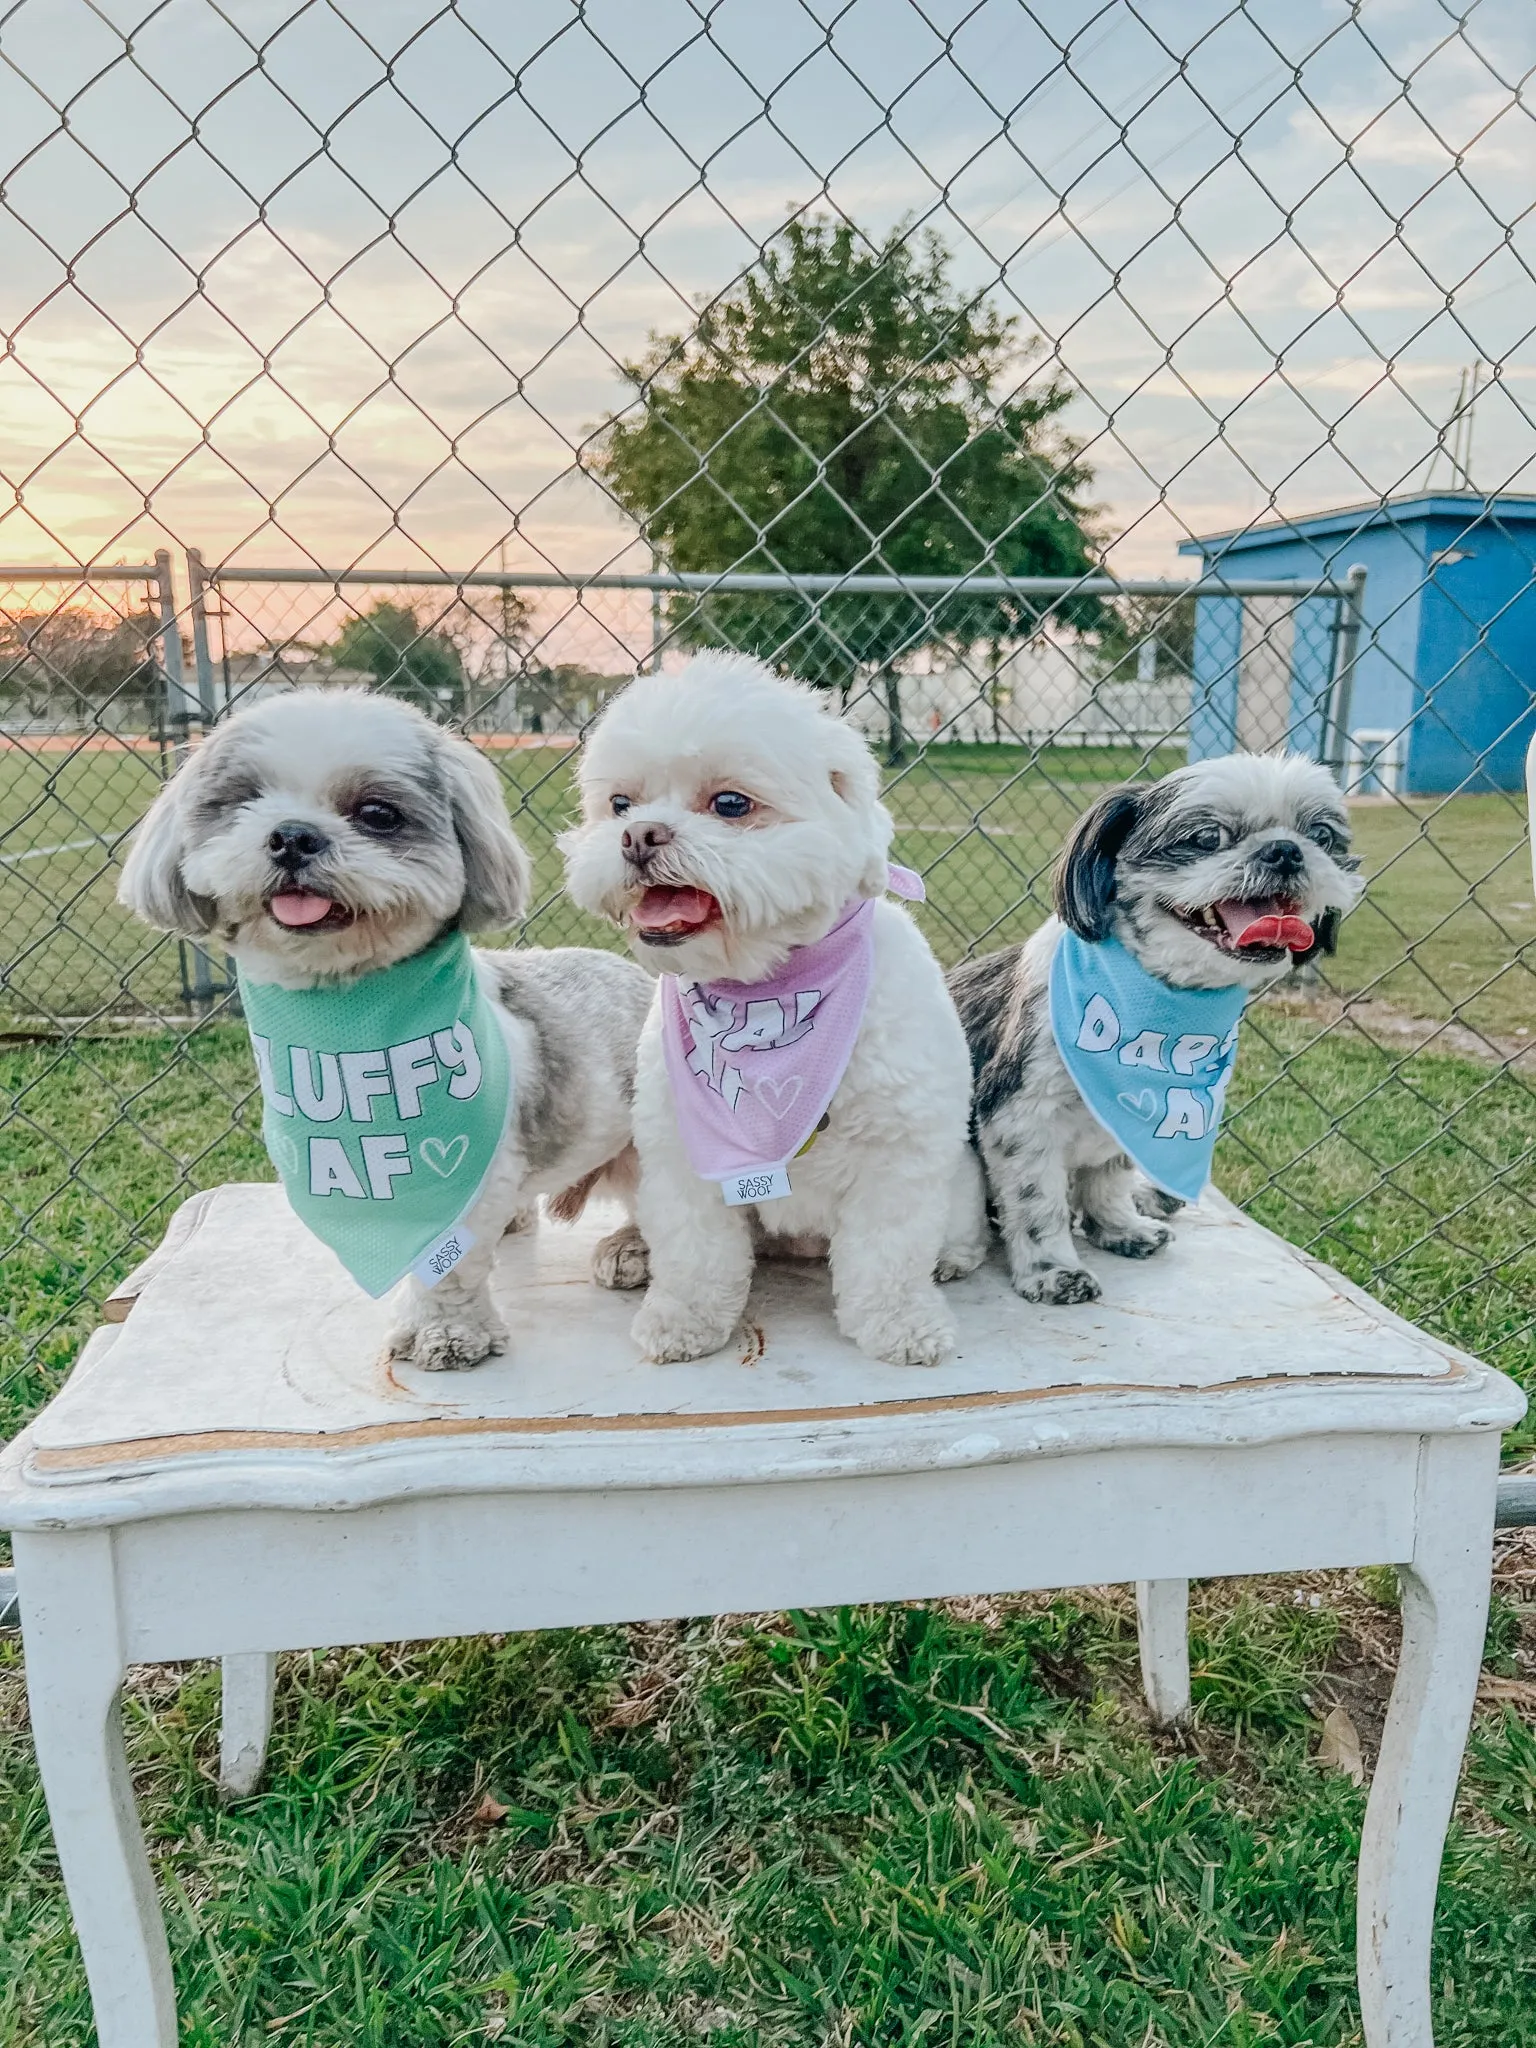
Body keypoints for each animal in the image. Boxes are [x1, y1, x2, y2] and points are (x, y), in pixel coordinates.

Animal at [118, 692, 651, 1376]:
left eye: (376, 814)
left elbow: (447, 1271)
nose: (293, 835)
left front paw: (447, 1333)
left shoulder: (461, 1188)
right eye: (243, 801)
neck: (350, 1024)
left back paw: (633, 1249)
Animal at [561, 647, 987, 1368]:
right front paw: (683, 1319)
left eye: (731, 803)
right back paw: (631, 1248)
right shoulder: (682, 1154)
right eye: (620, 803)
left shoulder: (901, 1154)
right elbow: (696, 1252)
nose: (638, 834)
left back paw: (953, 1258)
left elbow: (889, 1254)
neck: (764, 990)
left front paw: (901, 1323)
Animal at [950, 749, 1368, 1294]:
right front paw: (1053, 1270)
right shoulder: (1022, 1116)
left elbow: (1107, 1181)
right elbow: (1037, 1203)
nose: (1285, 851)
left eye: (1320, 835)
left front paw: (1120, 1228)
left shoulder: (1127, 1123)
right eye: (1207, 838)